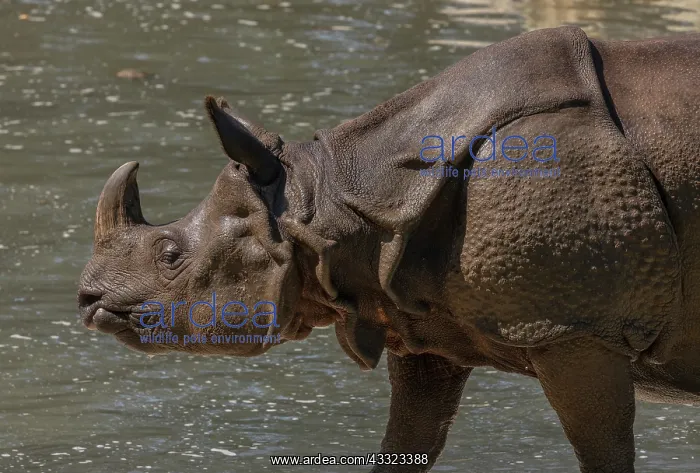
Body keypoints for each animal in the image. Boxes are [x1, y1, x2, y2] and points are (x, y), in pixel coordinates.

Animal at [78, 26, 700, 472]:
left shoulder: (574, 328)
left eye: (170, 255)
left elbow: (603, 451)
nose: (87, 299)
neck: (330, 197)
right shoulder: (423, 319)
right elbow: (408, 441)